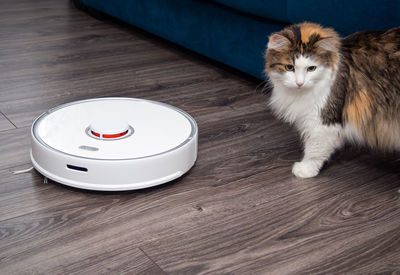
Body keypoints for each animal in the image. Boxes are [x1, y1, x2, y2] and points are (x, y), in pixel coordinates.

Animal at [264, 22, 398, 180]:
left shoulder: (324, 119)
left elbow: (314, 149)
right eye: (289, 67)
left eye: (311, 68)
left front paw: (305, 169)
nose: (299, 83)